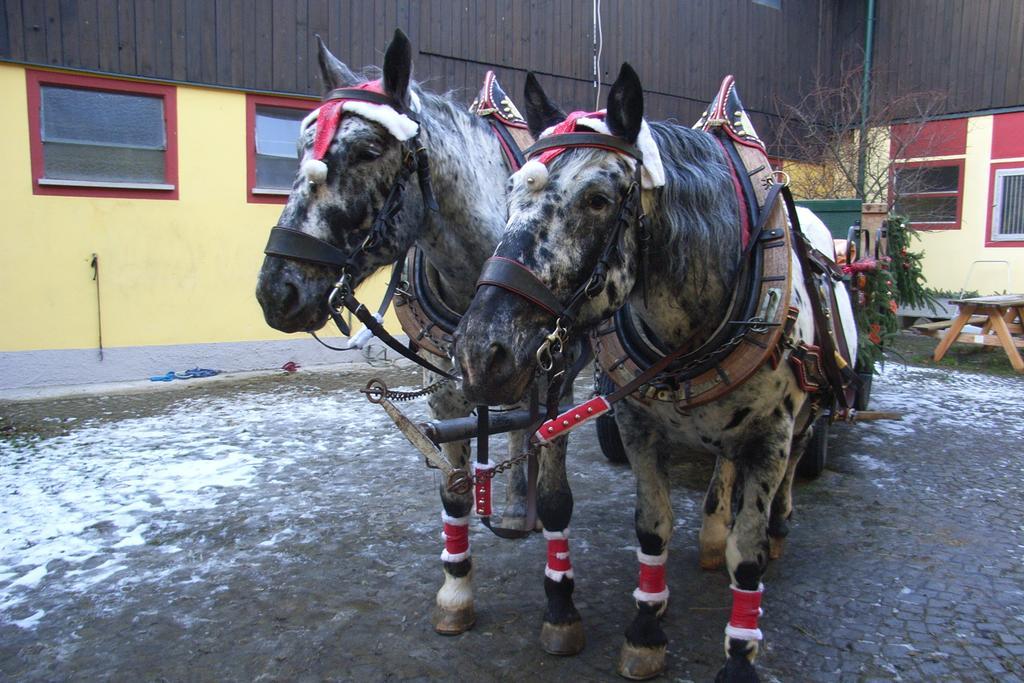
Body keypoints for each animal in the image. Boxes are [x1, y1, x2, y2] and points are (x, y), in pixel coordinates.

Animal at [452, 63, 860, 679]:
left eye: (598, 199)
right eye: (511, 194)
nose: (481, 352)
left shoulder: (770, 435)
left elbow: (748, 556)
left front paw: (739, 656)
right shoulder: (637, 425)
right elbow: (653, 527)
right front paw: (646, 630)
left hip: (807, 411)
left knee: (790, 468)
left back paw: (778, 526)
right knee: (722, 466)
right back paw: (712, 532)